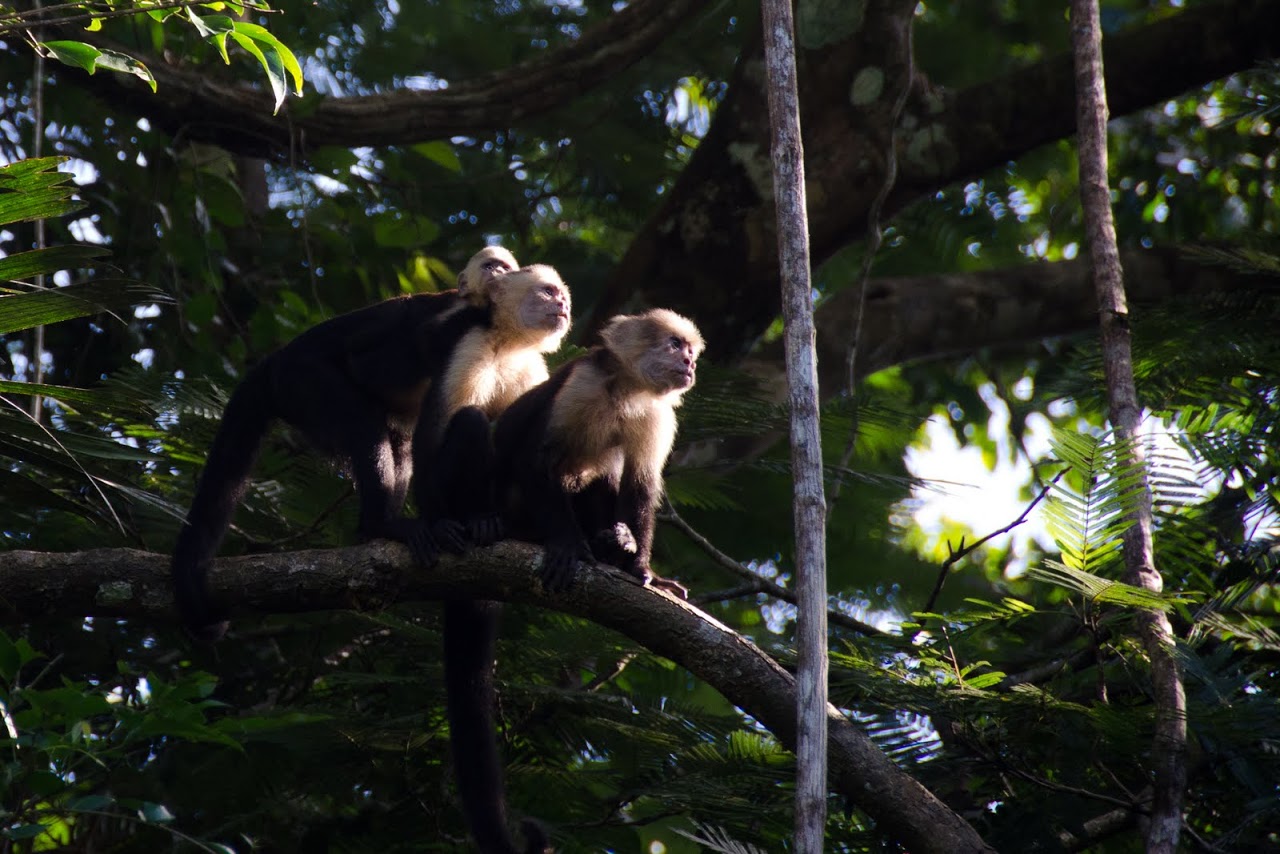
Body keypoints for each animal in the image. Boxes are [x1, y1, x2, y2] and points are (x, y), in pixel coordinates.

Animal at [172, 241, 527, 640]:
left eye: (505, 268)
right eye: (492, 267)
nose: (498, 277)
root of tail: (274, 361)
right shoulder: (457, 319)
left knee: (400, 450)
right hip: (304, 381)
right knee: (366, 425)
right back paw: (379, 525)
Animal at [494, 307, 706, 594]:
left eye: (691, 352)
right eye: (675, 344)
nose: (689, 363)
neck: (628, 390)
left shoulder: (656, 413)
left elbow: (640, 483)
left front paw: (639, 567)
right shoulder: (583, 380)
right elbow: (535, 458)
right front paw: (567, 543)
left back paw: (615, 546)